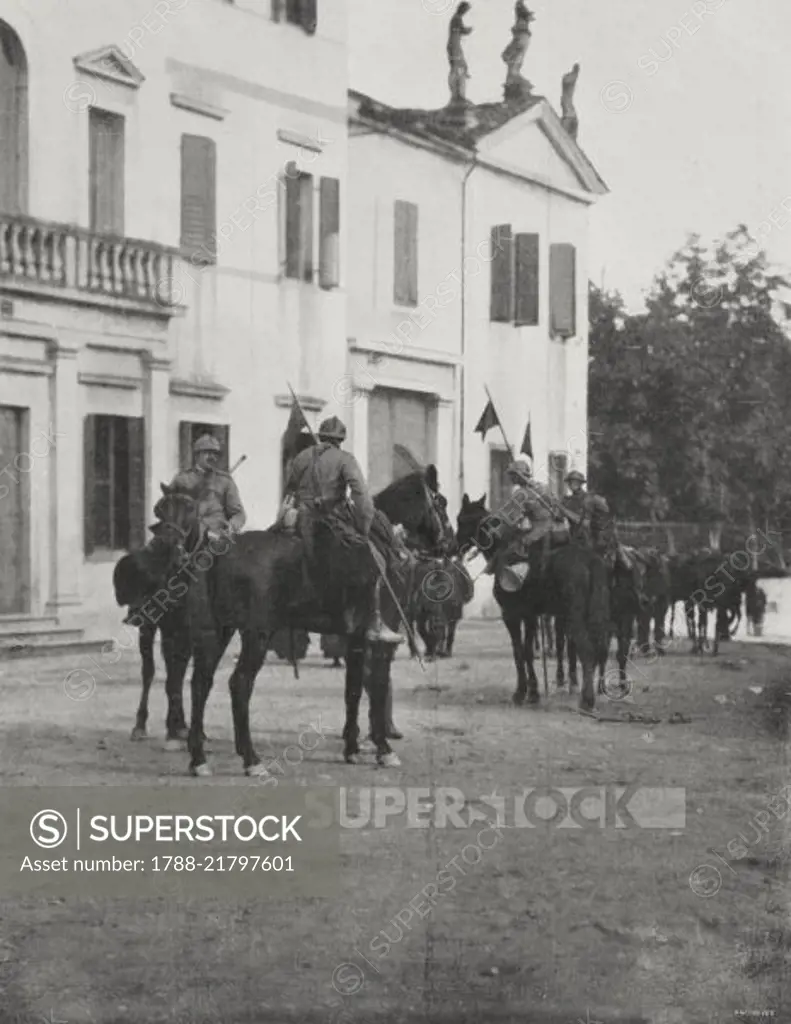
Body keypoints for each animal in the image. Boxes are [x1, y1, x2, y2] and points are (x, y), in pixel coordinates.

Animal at [152, 471, 438, 774]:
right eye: (438, 501)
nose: (447, 542)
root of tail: (219, 551)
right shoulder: (381, 641)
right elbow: (378, 686)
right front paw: (383, 748)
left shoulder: (355, 638)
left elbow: (354, 689)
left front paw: (352, 747)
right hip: (256, 634)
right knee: (239, 684)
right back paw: (251, 760)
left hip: (218, 630)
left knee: (200, 683)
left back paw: (199, 758)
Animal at [454, 495, 610, 712]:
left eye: (461, 519)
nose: (452, 546)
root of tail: (590, 561)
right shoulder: (530, 616)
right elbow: (528, 651)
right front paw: (534, 692)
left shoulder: (511, 615)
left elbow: (519, 652)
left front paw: (521, 693)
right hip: (595, 616)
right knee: (598, 649)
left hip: (573, 618)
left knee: (587, 650)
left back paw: (586, 700)